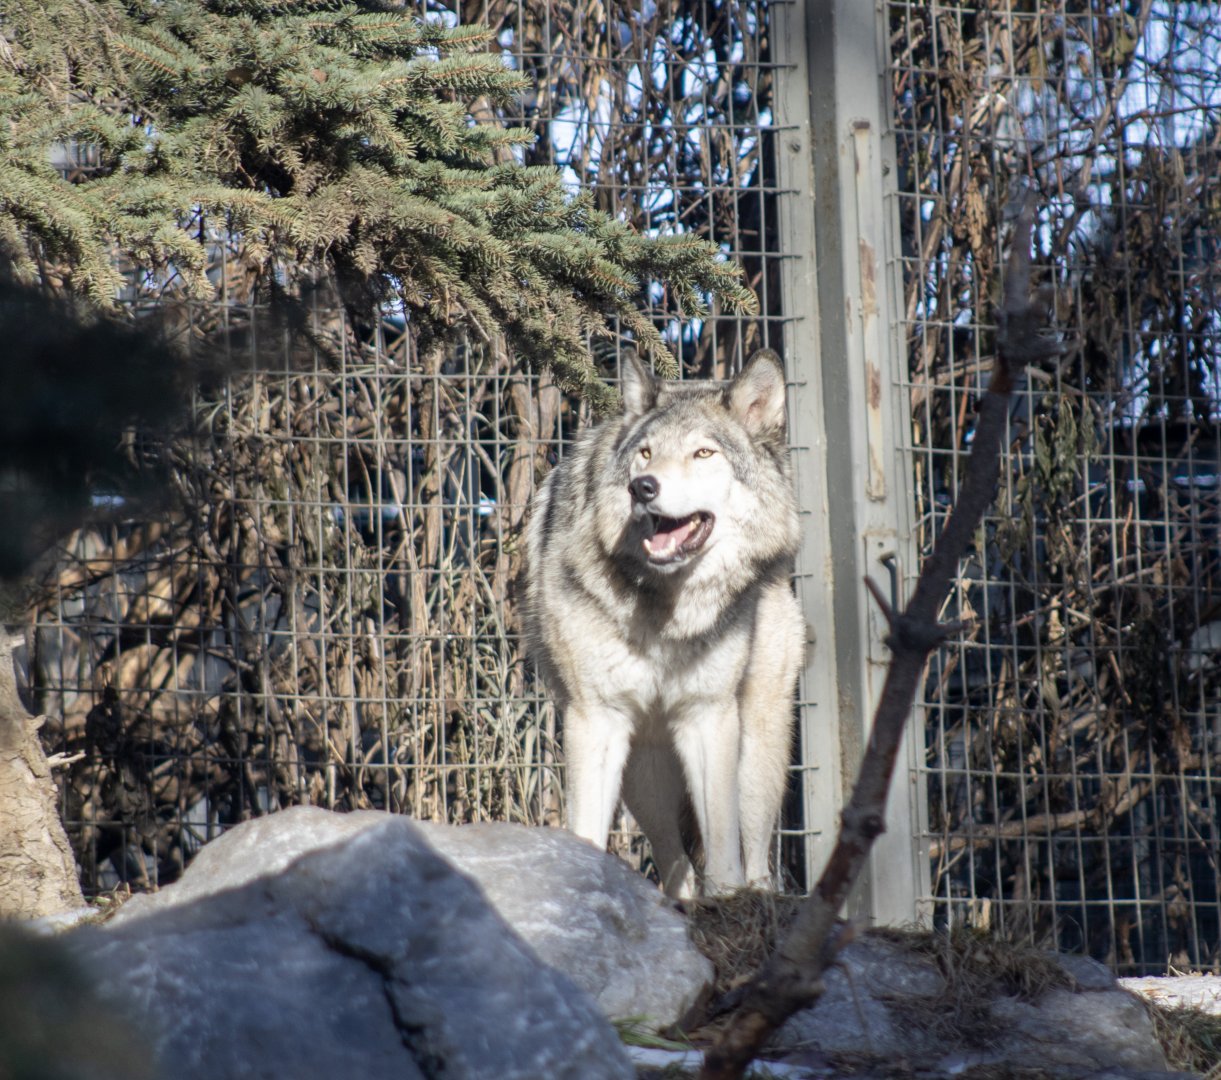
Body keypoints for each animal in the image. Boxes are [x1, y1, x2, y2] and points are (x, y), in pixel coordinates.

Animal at [524, 348, 804, 897]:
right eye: (646, 454)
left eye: (703, 454)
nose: (643, 487)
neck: (667, 611)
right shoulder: (596, 717)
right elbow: (587, 829)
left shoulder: (709, 715)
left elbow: (724, 846)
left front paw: (727, 897)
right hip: (645, 771)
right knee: (675, 861)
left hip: (756, 746)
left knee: (754, 850)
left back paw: (757, 896)